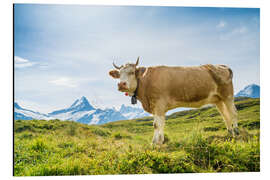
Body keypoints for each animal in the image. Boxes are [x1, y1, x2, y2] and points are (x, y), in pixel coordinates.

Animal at [107, 57, 238, 146]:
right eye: (119, 74)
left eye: (132, 72)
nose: (121, 84)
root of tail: (221, 66)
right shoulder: (156, 106)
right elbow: (159, 124)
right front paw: (159, 141)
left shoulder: (159, 104)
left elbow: (156, 124)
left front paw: (156, 142)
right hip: (218, 99)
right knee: (225, 115)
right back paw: (229, 133)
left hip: (228, 95)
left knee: (233, 112)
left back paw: (236, 131)